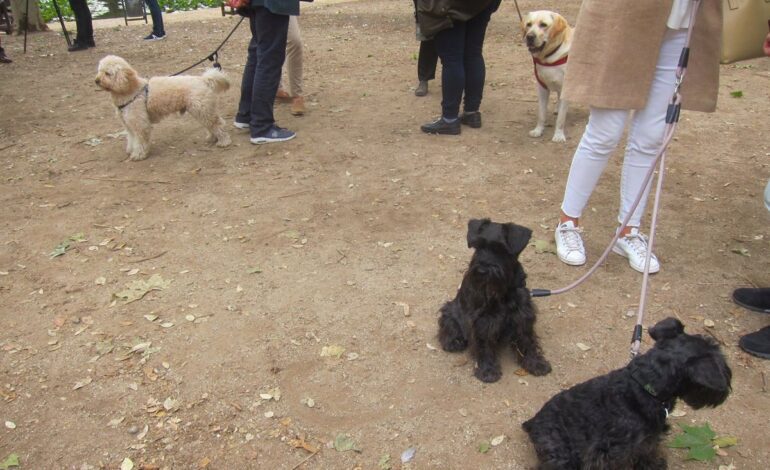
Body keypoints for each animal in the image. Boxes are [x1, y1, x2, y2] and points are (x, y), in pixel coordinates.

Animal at [95, 55, 231, 160]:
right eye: (99, 71)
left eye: (107, 73)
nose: (96, 81)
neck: (131, 90)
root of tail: (203, 79)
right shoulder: (128, 124)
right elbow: (131, 138)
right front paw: (130, 150)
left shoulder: (140, 124)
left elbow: (140, 141)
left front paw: (138, 154)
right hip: (202, 110)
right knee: (211, 125)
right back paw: (212, 138)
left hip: (202, 109)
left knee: (218, 124)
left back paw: (223, 141)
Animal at [438, 219, 544, 382]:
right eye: (478, 247)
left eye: (501, 250)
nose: (482, 271)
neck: (504, 292)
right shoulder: (483, 321)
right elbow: (484, 345)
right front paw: (487, 370)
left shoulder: (523, 316)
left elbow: (528, 340)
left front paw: (536, 363)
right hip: (449, 310)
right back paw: (453, 342)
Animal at [520, 318, 732, 468]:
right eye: (722, 364)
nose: (727, 386)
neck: (644, 386)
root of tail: (532, 423)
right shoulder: (606, 453)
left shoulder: (647, 439)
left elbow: (648, 451)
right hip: (562, 454)